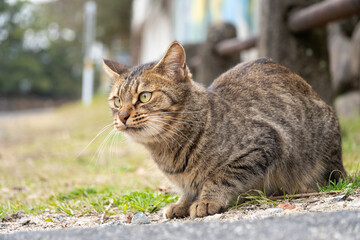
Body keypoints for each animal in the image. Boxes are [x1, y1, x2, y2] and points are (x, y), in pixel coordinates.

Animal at [103, 41, 346, 219]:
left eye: (144, 96)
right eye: (117, 101)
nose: (122, 116)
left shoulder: (264, 143)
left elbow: (220, 176)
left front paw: (206, 200)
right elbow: (188, 190)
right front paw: (183, 203)